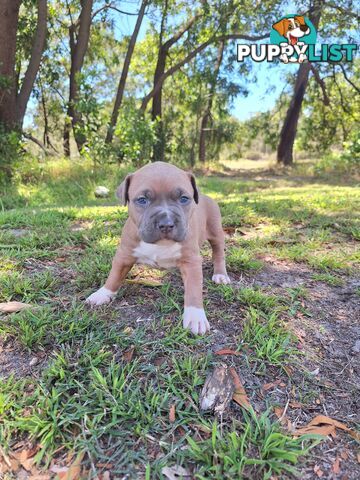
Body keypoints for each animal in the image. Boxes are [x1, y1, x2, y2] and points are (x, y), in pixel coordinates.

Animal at [86, 161, 229, 334]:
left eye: (183, 198)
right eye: (142, 200)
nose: (166, 223)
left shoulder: (191, 261)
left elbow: (194, 290)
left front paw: (195, 316)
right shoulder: (124, 255)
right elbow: (114, 276)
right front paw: (102, 294)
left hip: (216, 232)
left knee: (218, 253)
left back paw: (220, 275)